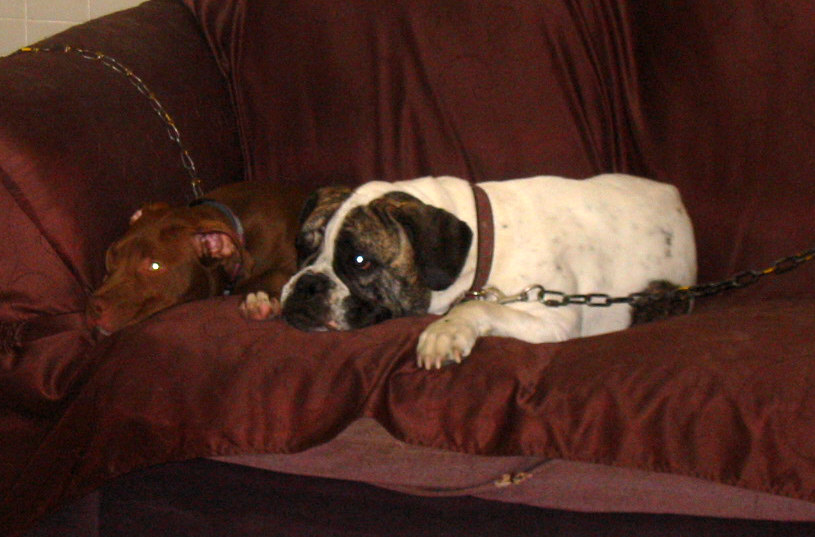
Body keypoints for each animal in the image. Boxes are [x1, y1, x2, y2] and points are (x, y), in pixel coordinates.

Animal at [277, 174, 696, 369]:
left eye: (360, 261)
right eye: (302, 246)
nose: (307, 285)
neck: (484, 240)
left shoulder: (551, 319)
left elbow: (478, 306)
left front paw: (444, 332)